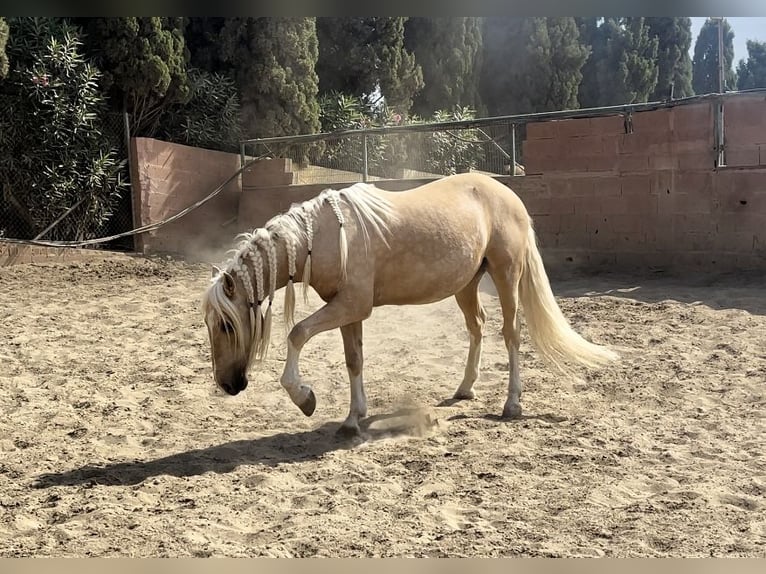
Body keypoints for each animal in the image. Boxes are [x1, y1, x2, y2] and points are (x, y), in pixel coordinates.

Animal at [202, 173, 616, 434]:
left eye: (226, 324)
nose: (228, 384)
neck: (321, 236)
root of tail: (509, 196)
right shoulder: (347, 309)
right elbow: (354, 360)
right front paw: (353, 419)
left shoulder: (351, 306)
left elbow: (298, 334)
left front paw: (304, 398)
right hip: (467, 284)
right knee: (477, 327)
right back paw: (464, 388)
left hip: (506, 274)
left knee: (511, 333)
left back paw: (512, 405)